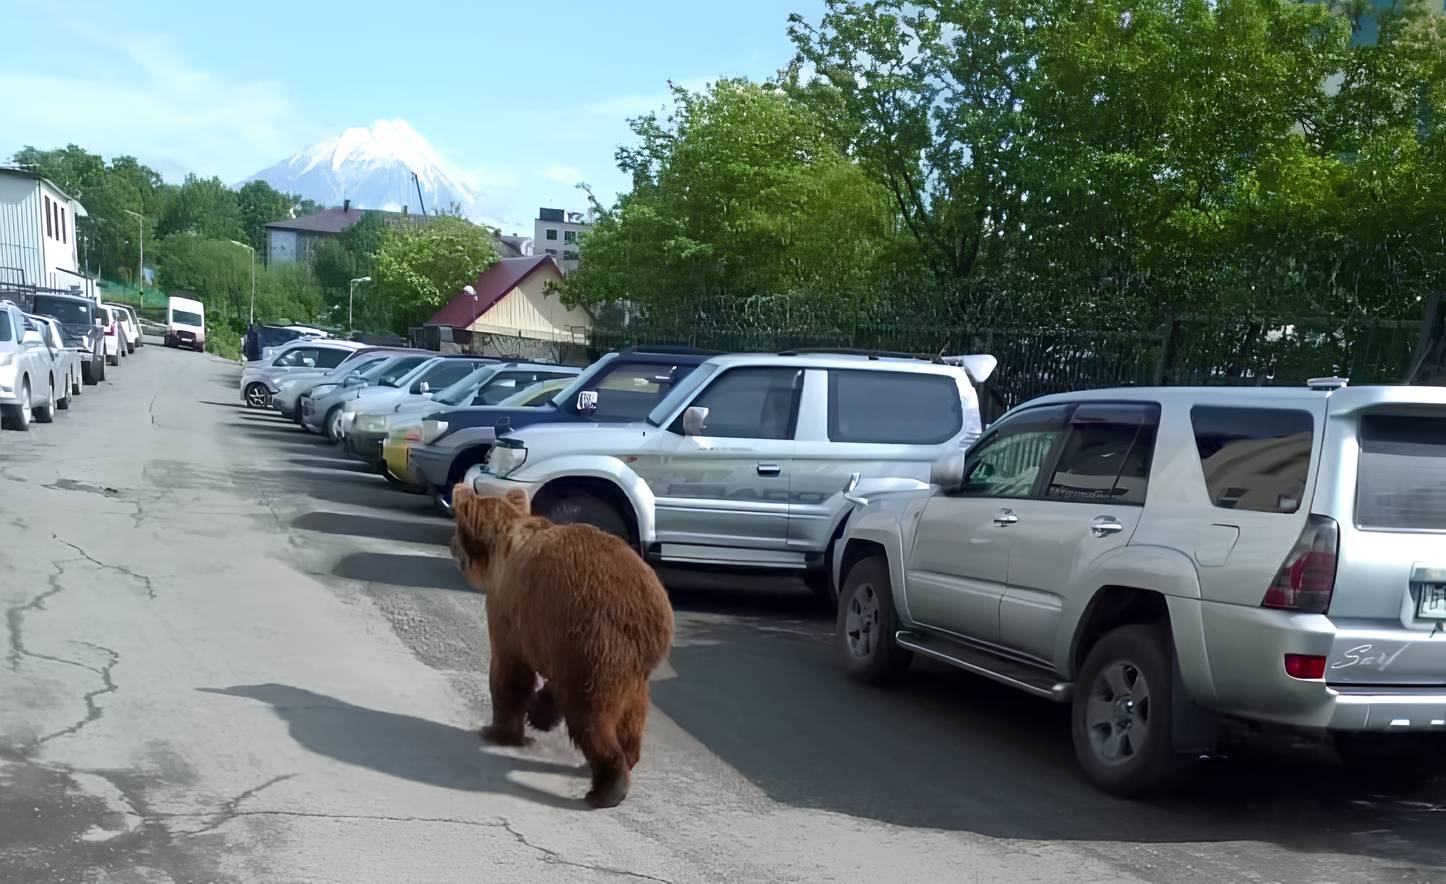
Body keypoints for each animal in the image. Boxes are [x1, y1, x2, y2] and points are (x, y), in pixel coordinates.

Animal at [448, 483, 673, 810]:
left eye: (456, 530)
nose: (451, 545)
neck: (503, 549)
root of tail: (653, 612)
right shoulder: (554, 640)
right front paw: (538, 713)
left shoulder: (513, 612)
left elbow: (509, 673)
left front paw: (498, 731)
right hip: (633, 665)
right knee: (632, 715)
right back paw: (626, 758)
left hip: (598, 641)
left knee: (590, 715)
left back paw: (606, 787)